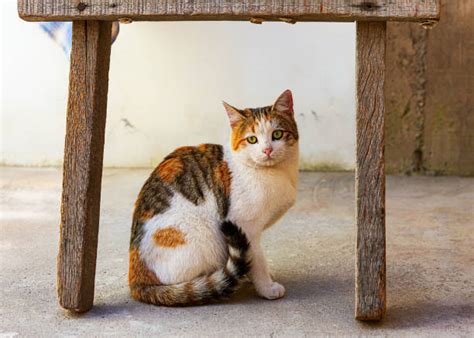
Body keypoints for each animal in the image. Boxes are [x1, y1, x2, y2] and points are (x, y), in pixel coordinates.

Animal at [129, 90, 300, 306]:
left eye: (277, 134)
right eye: (252, 140)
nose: (267, 150)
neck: (278, 173)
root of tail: (136, 280)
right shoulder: (244, 226)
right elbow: (258, 260)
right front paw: (266, 287)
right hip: (201, 234)